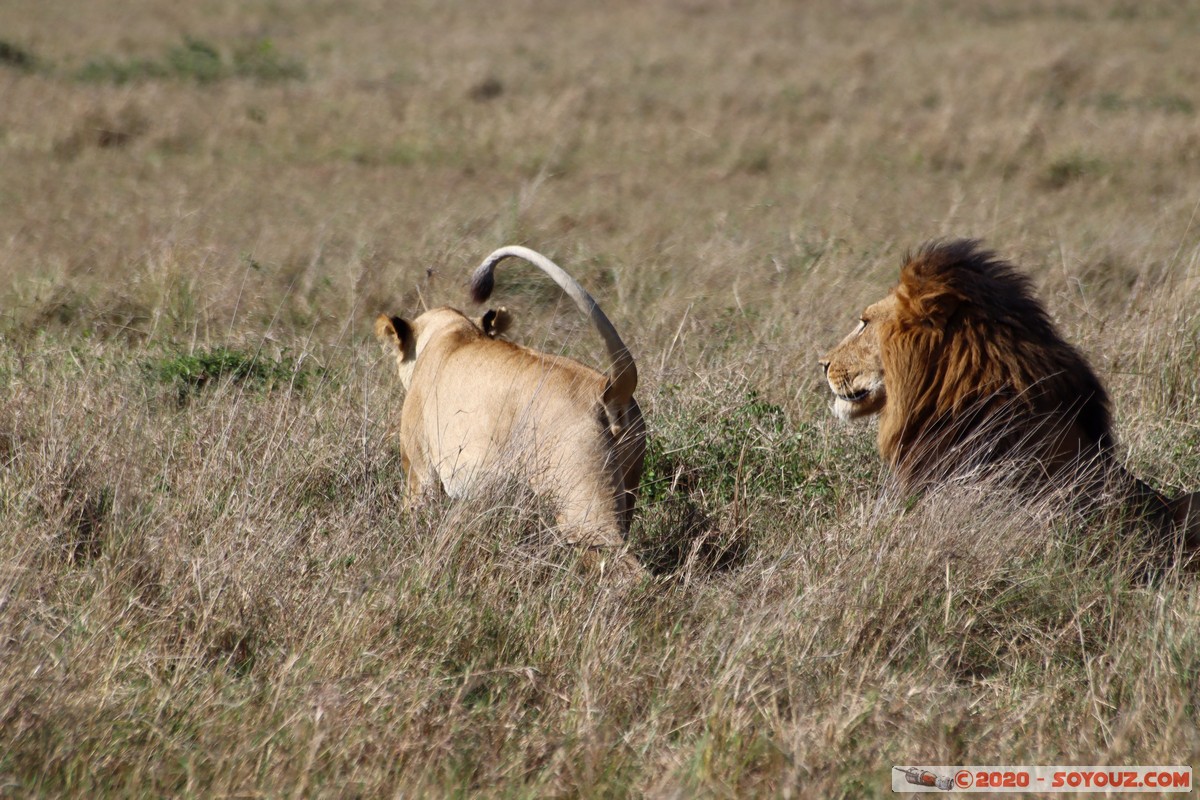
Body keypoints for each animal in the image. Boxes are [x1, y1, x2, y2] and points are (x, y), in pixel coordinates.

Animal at [374, 242, 648, 575]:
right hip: (627, 490)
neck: (453, 331)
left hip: (584, 505)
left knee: (630, 569)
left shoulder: (420, 468)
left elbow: (415, 512)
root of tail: (608, 388)